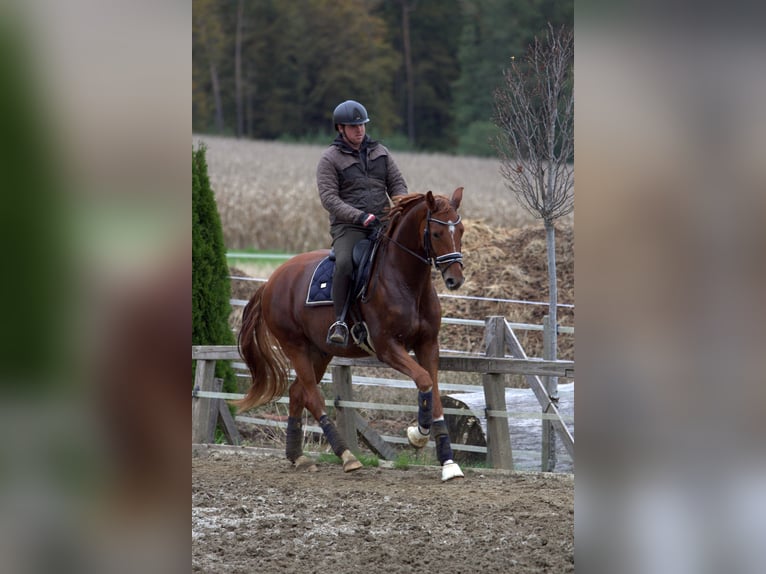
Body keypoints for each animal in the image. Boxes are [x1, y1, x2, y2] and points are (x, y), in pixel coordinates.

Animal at [234, 188, 464, 482]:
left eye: (461, 230)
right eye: (436, 233)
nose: (455, 280)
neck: (405, 282)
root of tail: (272, 281)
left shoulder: (428, 345)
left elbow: (433, 392)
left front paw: (448, 462)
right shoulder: (388, 348)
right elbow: (424, 381)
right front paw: (418, 435)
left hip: (319, 352)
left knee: (297, 392)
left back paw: (298, 456)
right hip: (295, 346)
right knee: (312, 396)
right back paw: (346, 456)